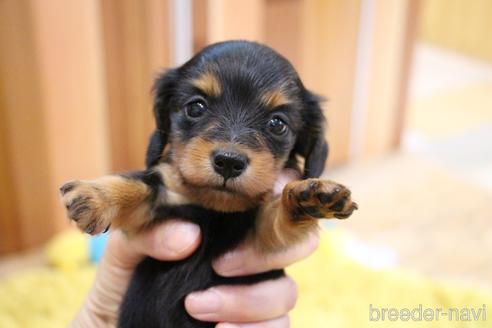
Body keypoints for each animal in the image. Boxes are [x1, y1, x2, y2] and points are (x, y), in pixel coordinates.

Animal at [60, 41, 358, 328]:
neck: (216, 208)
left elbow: (278, 216)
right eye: (196, 107)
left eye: (277, 123)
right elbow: (138, 185)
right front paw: (94, 197)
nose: (228, 162)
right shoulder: (163, 199)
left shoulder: (259, 234)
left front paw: (311, 198)